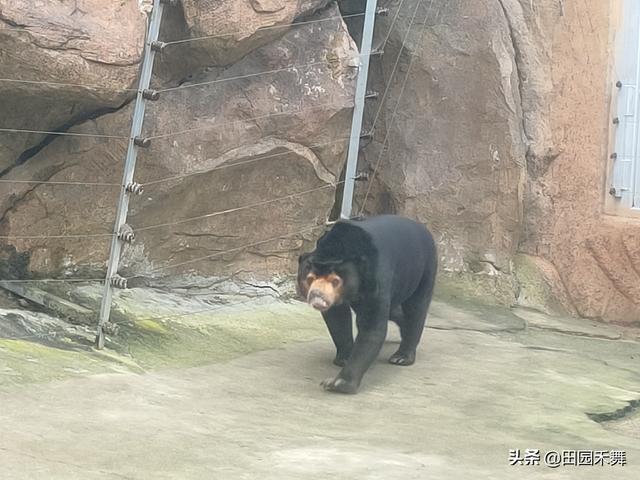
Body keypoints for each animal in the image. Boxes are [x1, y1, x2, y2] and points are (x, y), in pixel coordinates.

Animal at [298, 215, 438, 394]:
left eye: (335, 280)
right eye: (310, 278)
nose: (317, 297)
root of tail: (423, 228)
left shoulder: (376, 277)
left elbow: (372, 328)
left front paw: (338, 383)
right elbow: (337, 319)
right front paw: (344, 357)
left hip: (424, 269)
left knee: (416, 309)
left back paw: (401, 357)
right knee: (395, 312)